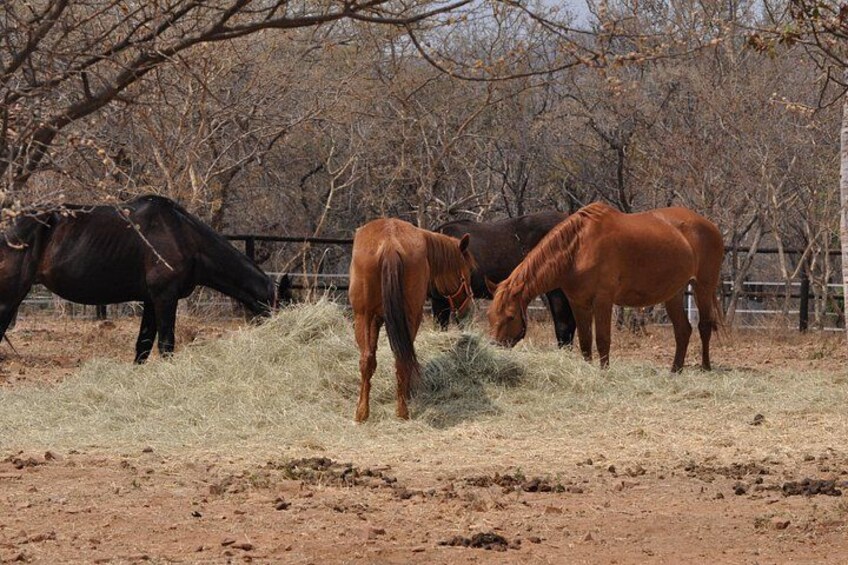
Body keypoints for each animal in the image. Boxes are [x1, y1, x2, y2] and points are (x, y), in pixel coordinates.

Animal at [0, 195, 292, 363]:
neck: (182, 235)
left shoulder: (151, 301)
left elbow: (143, 347)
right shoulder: (165, 298)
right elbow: (165, 345)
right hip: (9, 297)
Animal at [349, 218, 474, 422]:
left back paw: (364, 413)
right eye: (469, 270)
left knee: (371, 359)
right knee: (400, 359)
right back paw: (400, 411)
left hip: (364, 317)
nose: (467, 307)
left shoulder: (374, 320)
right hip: (407, 318)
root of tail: (390, 243)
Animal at [487, 202, 724, 372]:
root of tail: (710, 225)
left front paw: (604, 372)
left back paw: (705, 367)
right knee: (683, 330)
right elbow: (585, 341)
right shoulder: (578, 303)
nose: (495, 349)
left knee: (704, 326)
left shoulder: (602, 300)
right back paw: (675, 370)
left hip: (703, 287)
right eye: (490, 317)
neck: (579, 249)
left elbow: (602, 339)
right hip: (673, 293)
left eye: (510, 316)